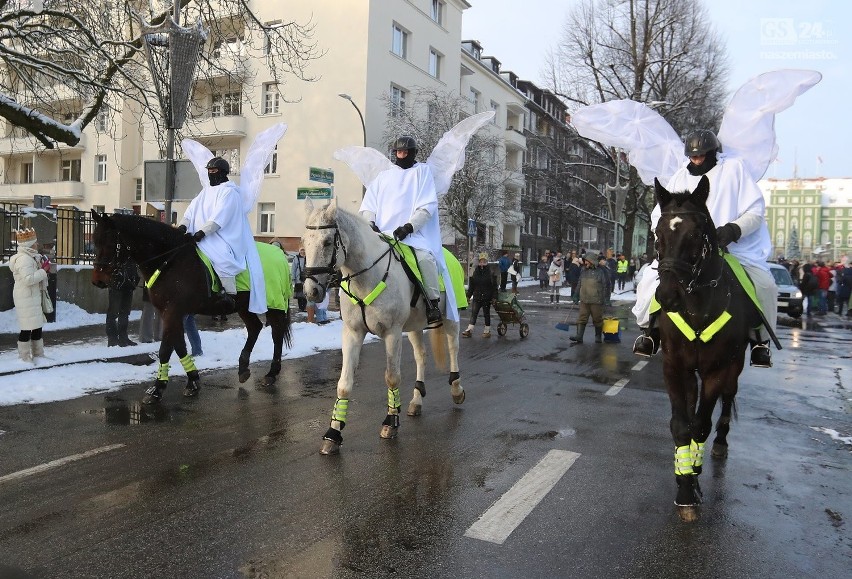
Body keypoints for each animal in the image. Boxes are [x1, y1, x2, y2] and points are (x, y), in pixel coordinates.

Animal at [90, 211, 292, 406]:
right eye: (94, 242)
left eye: (109, 242)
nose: (98, 280)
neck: (170, 262)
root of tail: (279, 254)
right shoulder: (171, 313)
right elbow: (178, 345)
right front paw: (192, 380)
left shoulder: (172, 312)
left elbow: (166, 349)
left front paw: (157, 389)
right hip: (244, 306)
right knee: (254, 327)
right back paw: (243, 368)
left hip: (273, 305)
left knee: (276, 333)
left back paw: (271, 373)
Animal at [302, 202, 462, 456]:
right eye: (304, 241)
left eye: (327, 242)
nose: (311, 291)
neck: (367, 276)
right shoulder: (353, 333)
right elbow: (344, 384)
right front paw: (333, 434)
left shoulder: (392, 333)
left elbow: (392, 377)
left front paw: (391, 423)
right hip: (414, 326)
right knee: (421, 356)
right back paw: (416, 400)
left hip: (450, 318)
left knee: (453, 348)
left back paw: (456, 390)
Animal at [648, 177, 764, 520]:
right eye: (657, 234)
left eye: (696, 234)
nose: (667, 296)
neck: (697, 308)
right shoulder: (675, 367)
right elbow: (681, 425)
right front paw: (684, 483)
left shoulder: (718, 369)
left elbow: (701, 425)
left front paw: (692, 483)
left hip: (734, 368)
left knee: (726, 402)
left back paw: (721, 444)